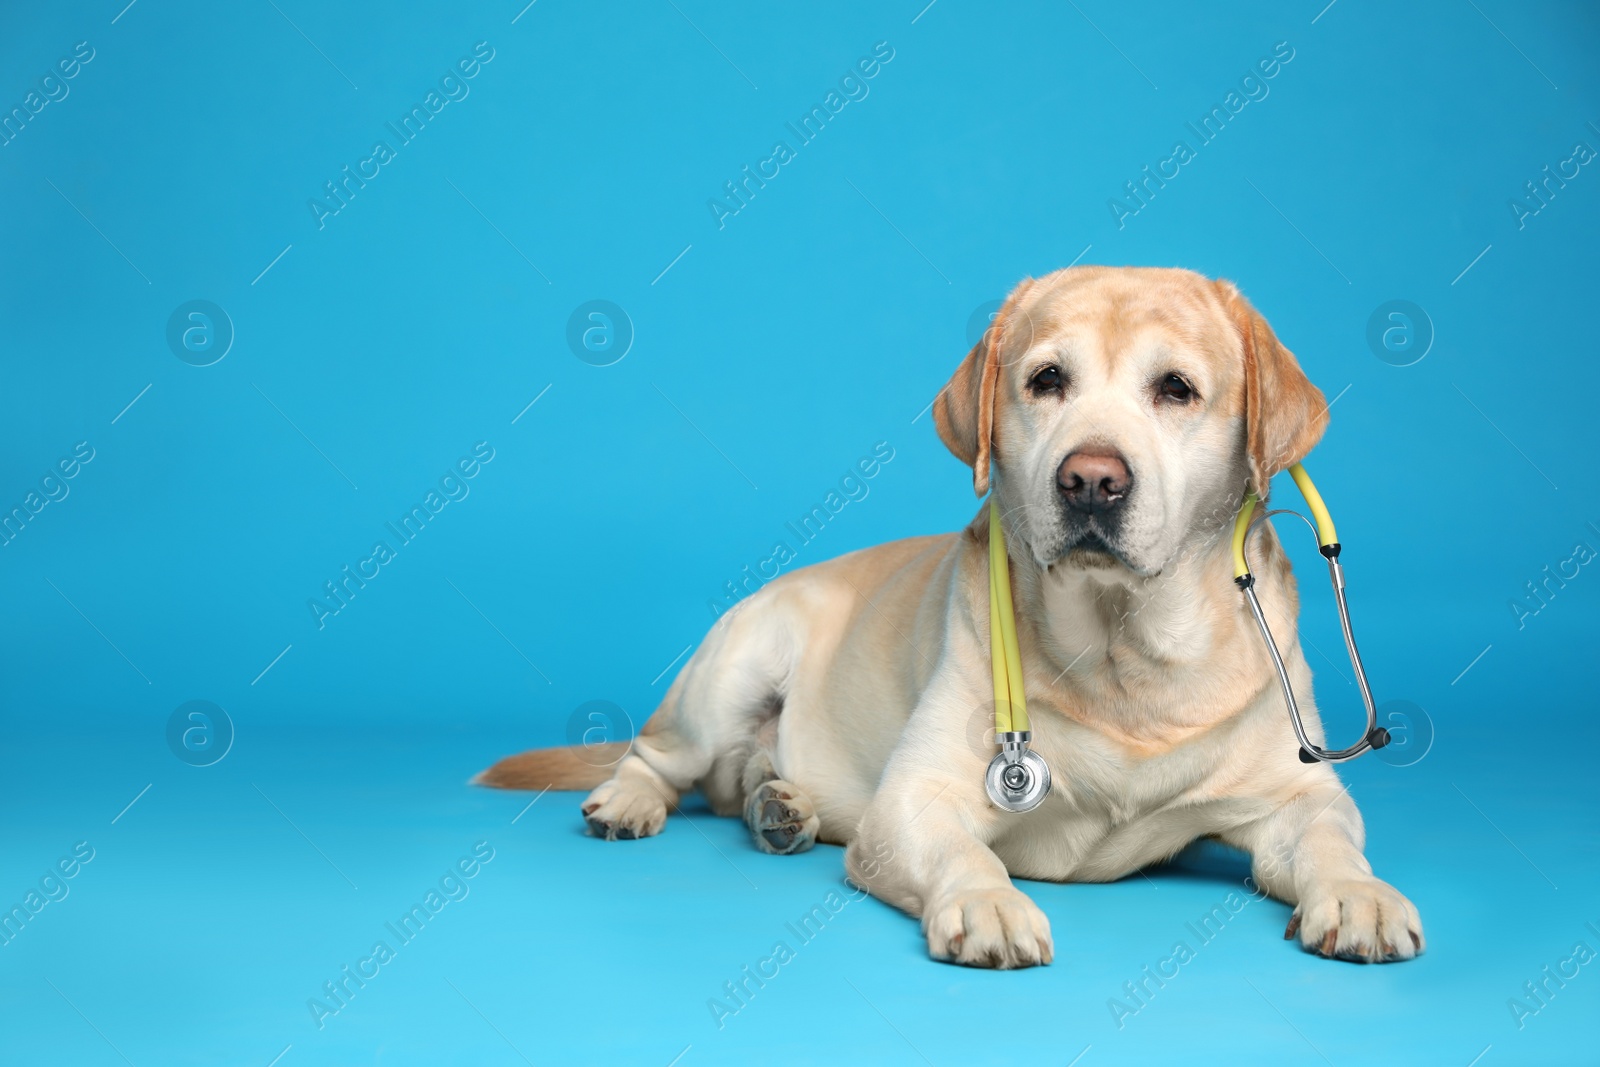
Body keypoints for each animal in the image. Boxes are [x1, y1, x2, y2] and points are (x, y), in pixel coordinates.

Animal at [483, 265, 1427, 966]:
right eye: (1046, 380)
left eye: (1178, 389)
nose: (1091, 480)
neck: (1122, 657)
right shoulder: (915, 801)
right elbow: (963, 849)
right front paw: (988, 902)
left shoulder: (1299, 793)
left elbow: (1332, 837)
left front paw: (1360, 894)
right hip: (730, 671)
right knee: (655, 755)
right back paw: (632, 800)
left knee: (739, 778)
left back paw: (779, 804)